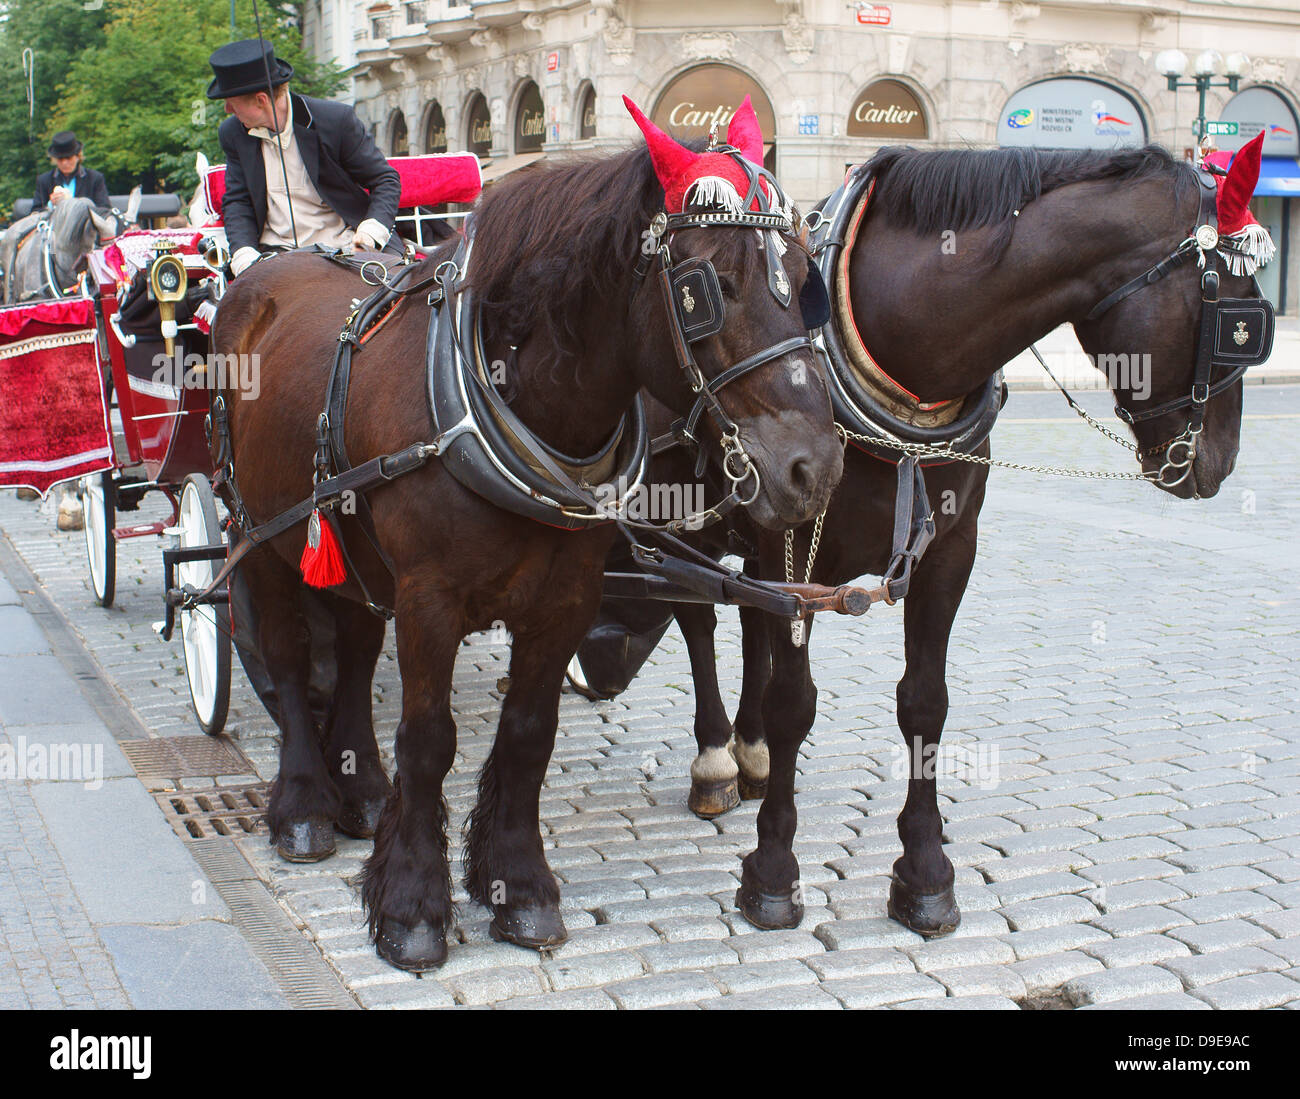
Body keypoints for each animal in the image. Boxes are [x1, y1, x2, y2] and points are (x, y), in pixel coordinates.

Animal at [574, 143, 1274, 936]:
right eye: (1242, 320)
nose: (1220, 461)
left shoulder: (948, 553)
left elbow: (925, 700)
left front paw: (925, 871)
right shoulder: (795, 546)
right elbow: (794, 703)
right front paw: (773, 871)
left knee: (746, 622)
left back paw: (747, 755)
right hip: (677, 516)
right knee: (696, 619)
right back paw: (717, 758)